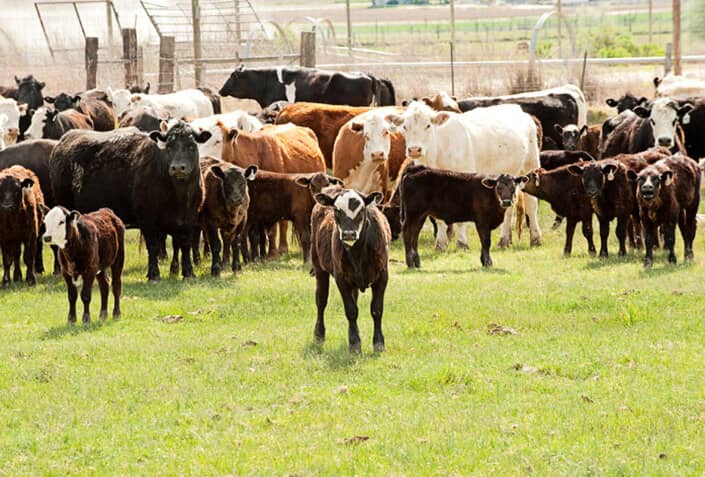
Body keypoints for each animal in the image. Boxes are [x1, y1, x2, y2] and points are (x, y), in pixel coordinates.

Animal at [49, 122, 210, 280]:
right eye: (169, 147)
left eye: (191, 146)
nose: (178, 168)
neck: (179, 196)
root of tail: (63, 140)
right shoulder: (147, 219)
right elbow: (153, 246)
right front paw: (154, 275)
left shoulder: (189, 218)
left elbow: (185, 245)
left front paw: (189, 273)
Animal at [310, 188, 390, 353]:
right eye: (336, 209)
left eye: (361, 210)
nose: (348, 234)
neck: (358, 253)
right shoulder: (341, 279)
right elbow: (351, 311)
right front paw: (355, 344)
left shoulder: (382, 277)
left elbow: (377, 310)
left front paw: (379, 343)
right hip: (319, 268)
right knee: (321, 300)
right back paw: (319, 334)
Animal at [386, 101, 542, 250]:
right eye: (405, 127)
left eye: (428, 125)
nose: (414, 150)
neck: (439, 151)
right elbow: (438, 217)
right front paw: (441, 244)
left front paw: (462, 244)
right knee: (508, 208)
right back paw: (504, 240)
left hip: (530, 166)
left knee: (531, 203)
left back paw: (535, 239)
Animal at [398, 162, 527, 268]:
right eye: (498, 187)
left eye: (513, 187)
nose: (506, 202)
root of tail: (415, 170)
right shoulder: (482, 220)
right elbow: (486, 241)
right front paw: (487, 262)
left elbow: (484, 242)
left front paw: (484, 261)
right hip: (413, 213)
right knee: (407, 233)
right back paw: (410, 263)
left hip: (420, 215)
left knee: (415, 235)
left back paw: (417, 263)